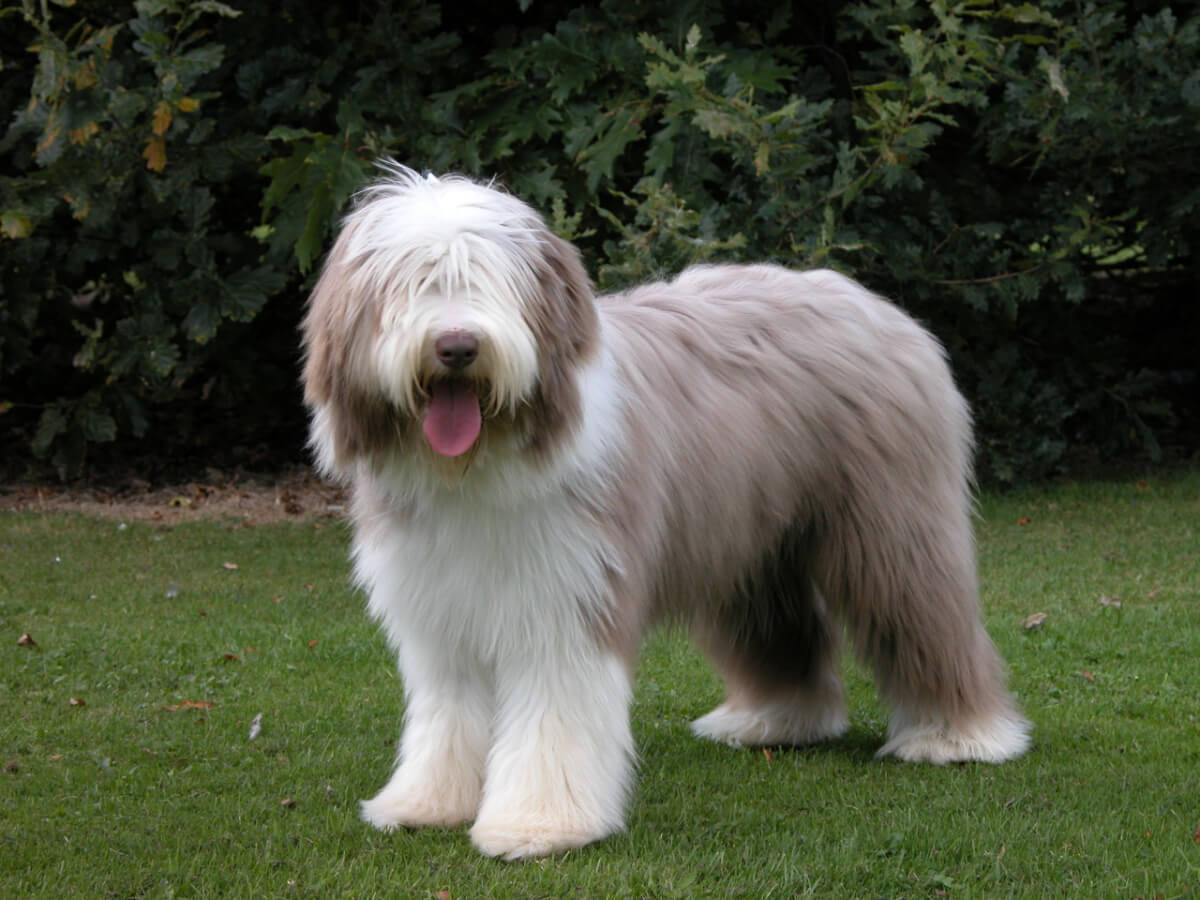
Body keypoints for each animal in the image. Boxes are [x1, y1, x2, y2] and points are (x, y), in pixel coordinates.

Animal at [302, 165, 1032, 864]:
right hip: (752, 544)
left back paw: (958, 736)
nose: (457, 346)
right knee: (781, 626)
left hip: (891, 526)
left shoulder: (570, 597)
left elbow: (553, 718)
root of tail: (873, 304)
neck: (478, 467)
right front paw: (426, 804)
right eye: (411, 284)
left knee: (924, 613)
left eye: (489, 281)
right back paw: (774, 720)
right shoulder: (437, 610)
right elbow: (447, 715)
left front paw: (540, 824)